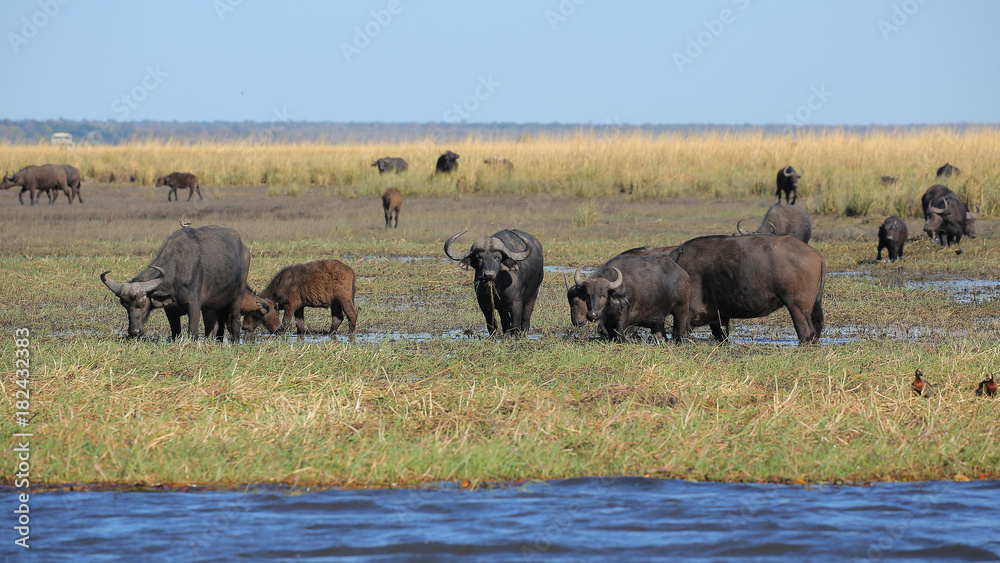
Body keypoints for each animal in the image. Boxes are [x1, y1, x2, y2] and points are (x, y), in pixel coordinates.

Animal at [100, 224, 250, 340]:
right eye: (124, 305)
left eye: (142, 304)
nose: (134, 332)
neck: (177, 271)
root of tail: (244, 249)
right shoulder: (170, 309)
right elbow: (176, 332)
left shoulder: (194, 305)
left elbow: (192, 332)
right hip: (214, 303)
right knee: (215, 326)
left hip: (238, 295)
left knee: (235, 321)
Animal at [668, 234, 824, 344]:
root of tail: (813, 251)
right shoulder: (720, 320)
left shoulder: (686, 315)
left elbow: (678, 335)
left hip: (797, 307)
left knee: (806, 333)